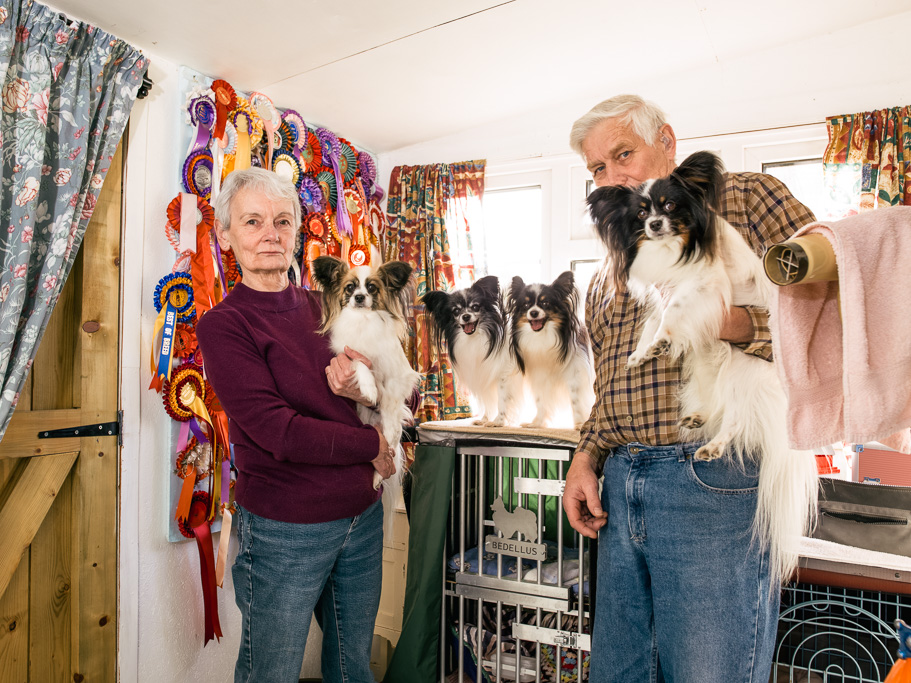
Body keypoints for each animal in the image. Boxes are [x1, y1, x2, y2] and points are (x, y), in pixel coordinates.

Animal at [308, 256, 418, 496]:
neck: (363, 319)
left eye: (372, 288)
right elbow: (360, 363)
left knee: (390, 443)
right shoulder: (348, 354)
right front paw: (369, 389)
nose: (359, 297)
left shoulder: (396, 374)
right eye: (350, 288)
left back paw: (379, 476)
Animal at [422, 278, 524, 428]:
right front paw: (485, 419)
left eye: (475, 307)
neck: (475, 338)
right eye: (456, 311)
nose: (465, 316)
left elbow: (502, 401)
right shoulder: (482, 374)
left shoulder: (504, 376)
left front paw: (498, 422)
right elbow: (488, 401)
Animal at [510, 272, 596, 428]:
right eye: (526, 305)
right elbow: (540, 401)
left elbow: (576, 401)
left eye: (545, 303)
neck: (544, 335)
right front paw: (537, 423)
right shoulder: (539, 375)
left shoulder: (575, 376)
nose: (533, 312)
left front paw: (579, 424)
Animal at [592, 151, 820, 584]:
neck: (675, 246)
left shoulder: (701, 286)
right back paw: (697, 418)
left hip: (740, 367)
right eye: (641, 212)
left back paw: (713, 447)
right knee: (714, 402)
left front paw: (661, 341)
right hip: (702, 367)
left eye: (669, 207)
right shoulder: (662, 292)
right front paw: (643, 352)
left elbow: (672, 314)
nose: (654, 225)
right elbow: (653, 322)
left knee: (736, 417)